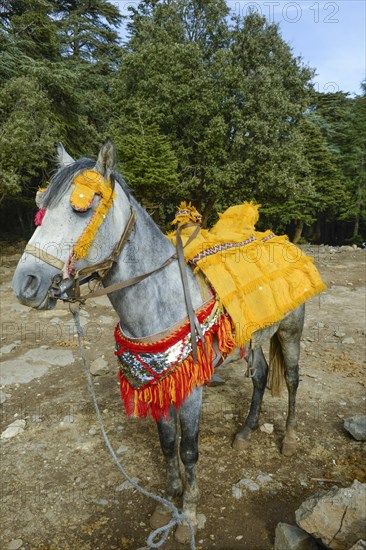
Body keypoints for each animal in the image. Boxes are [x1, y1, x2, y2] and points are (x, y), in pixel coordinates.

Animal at [12, 140, 306, 544]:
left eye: (82, 206)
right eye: (41, 209)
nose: (25, 283)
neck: (161, 297)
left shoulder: (190, 388)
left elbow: (190, 449)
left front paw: (189, 514)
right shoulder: (158, 382)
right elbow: (167, 443)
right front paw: (168, 503)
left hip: (290, 332)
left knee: (291, 380)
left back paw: (289, 439)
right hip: (256, 338)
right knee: (261, 376)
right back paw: (245, 433)